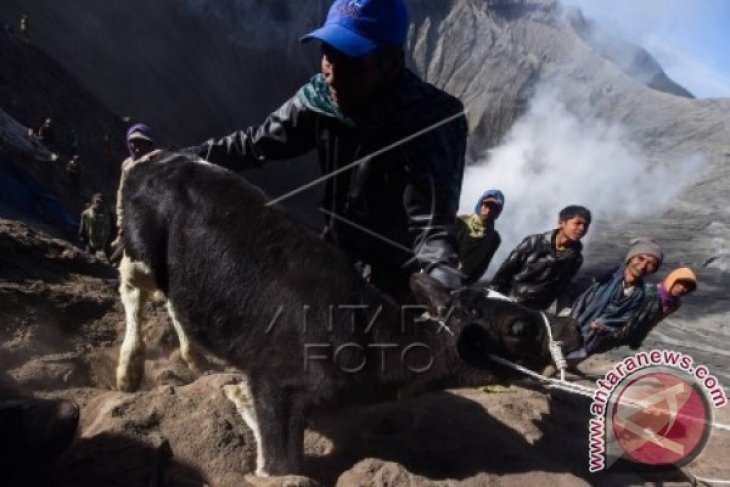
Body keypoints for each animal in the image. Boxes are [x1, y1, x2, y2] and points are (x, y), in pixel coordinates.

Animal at [115, 152, 580, 476]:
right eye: (519, 327)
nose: (570, 327)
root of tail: (163, 157)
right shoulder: (276, 382)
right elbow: (282, 468)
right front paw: (240, 404)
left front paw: (234, 394)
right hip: (142, 249)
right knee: (132, 288)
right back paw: (129, 369)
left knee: (174, 302)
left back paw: (194, 359)